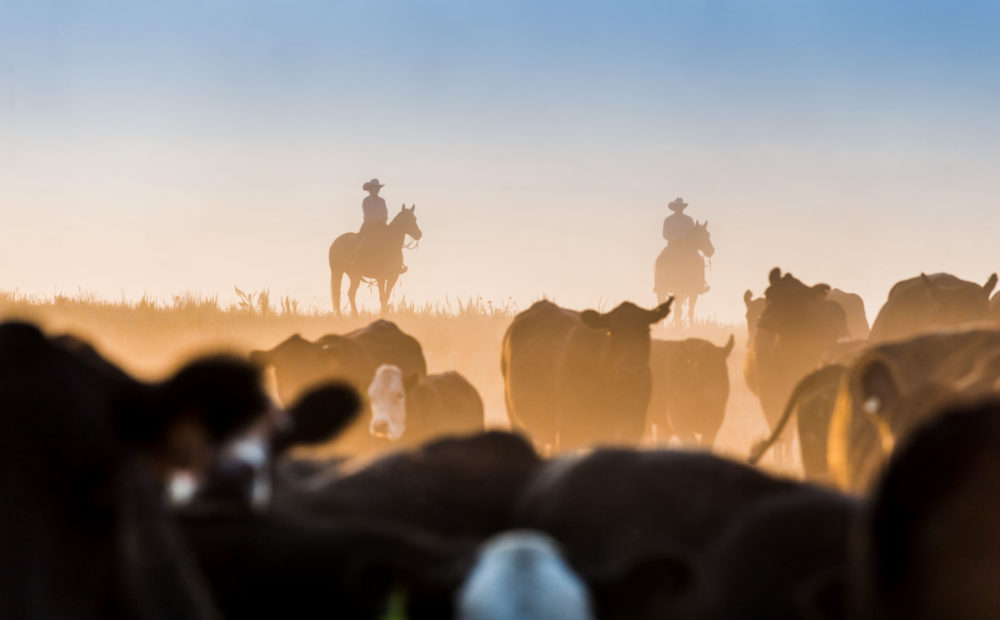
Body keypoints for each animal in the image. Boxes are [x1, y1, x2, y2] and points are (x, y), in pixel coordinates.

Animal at [748, 268, 848, 462]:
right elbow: (777, 427)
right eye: (768, 293)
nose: (764, 319)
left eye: (795, 298)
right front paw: (779, 461)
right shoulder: (767, 395)